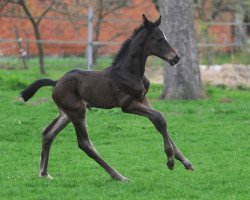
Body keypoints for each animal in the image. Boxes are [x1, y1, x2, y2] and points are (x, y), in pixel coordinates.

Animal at [21, 14, 193, 180]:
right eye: (159, 40)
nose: (176, 57)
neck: (129, 72)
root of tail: (56, 82)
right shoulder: (127, 105)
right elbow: (160, 117)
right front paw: (170, 161)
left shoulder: (143, 99)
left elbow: (158, 122)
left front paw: (185, 161)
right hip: (77, 112)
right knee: (84, 144)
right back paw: (118, 176)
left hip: (66, 113)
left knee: (48, 133)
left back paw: (44, 173)